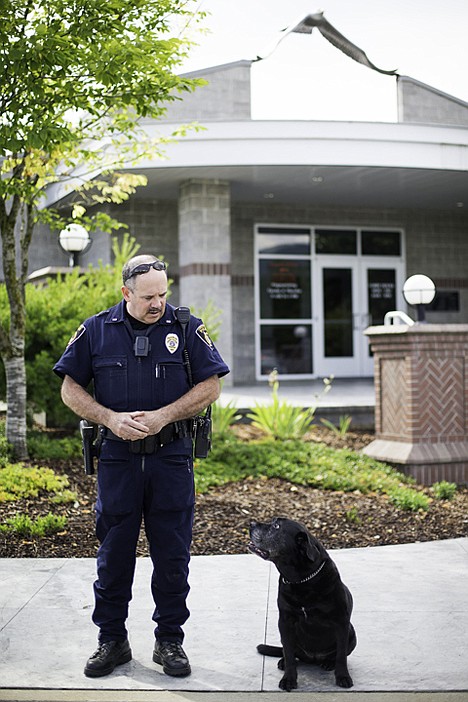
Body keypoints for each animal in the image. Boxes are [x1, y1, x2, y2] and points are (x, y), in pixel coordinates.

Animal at [250, 516, 356, 692]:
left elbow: (341, 656)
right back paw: (284, 662)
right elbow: (289, 654)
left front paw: (343, 677)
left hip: (352, 633)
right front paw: (288, 679)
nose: (251, 523)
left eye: (276, 526)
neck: (300, 580)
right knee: (290, 653)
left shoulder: (341, 622)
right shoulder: (285, 623)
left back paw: (328, 663)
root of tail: (313, 658)